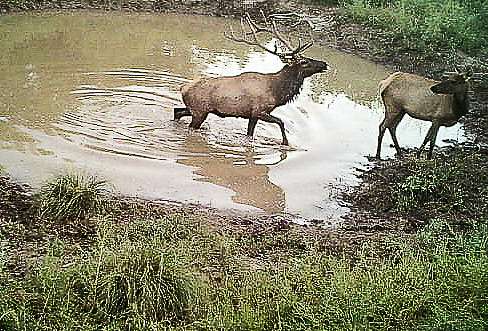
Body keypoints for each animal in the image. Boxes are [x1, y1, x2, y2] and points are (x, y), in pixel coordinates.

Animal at [173, 13, 330, 145]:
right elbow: (281, 122)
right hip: (199, 111)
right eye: (305, 62)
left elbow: (250, 133)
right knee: (187, 122)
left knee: (177, 111)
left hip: (195, 109)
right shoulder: (259, 111)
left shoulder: (252, 115)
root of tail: (183, 88)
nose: (324, 64)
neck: (277, 92)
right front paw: (286, 143)